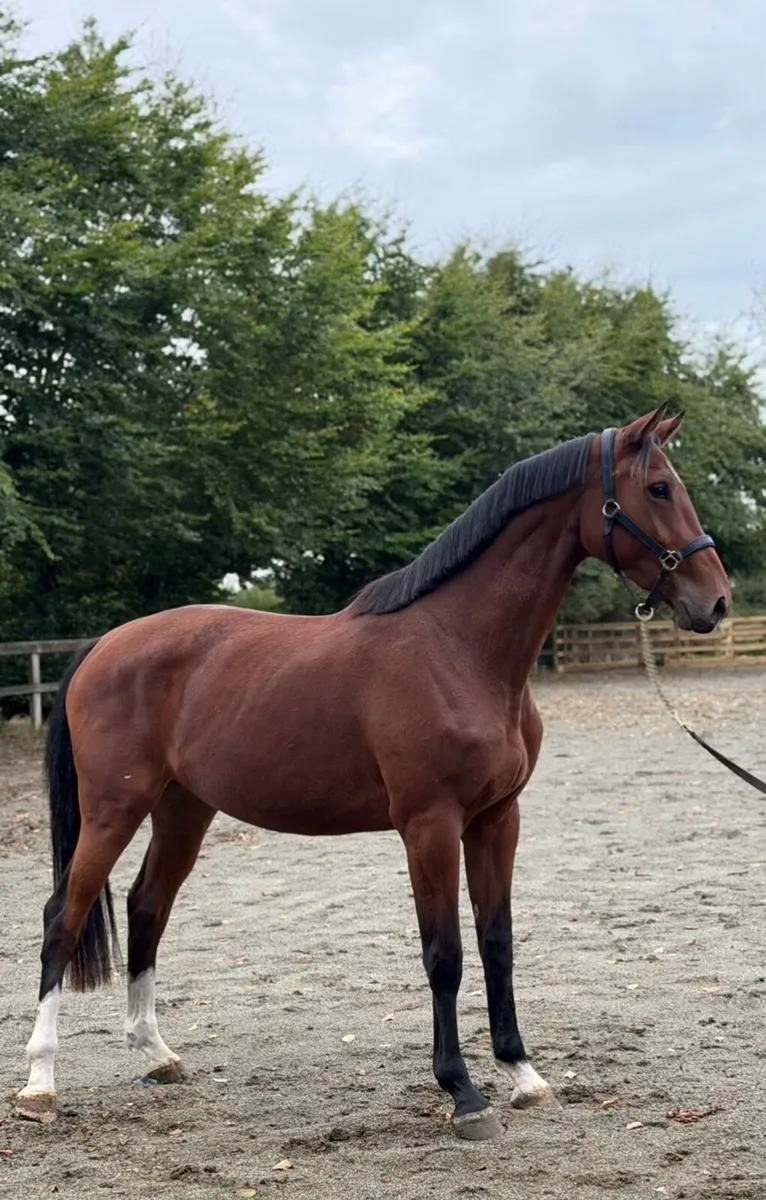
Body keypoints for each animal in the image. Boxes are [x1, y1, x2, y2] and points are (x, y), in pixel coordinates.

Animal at [15, 407, 730, 1139]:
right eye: (659, 490)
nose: (717, 603)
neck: (459, 649)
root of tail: (103, 645)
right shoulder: (430, 826)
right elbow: (444, 955)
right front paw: (463, 1094)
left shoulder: (497, 820)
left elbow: (497, 943)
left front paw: (522, 1074)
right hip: (113, 810)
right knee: (63, 917)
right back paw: (40, 1084)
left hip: (184, 809)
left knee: (146, 906)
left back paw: (156, 1053)